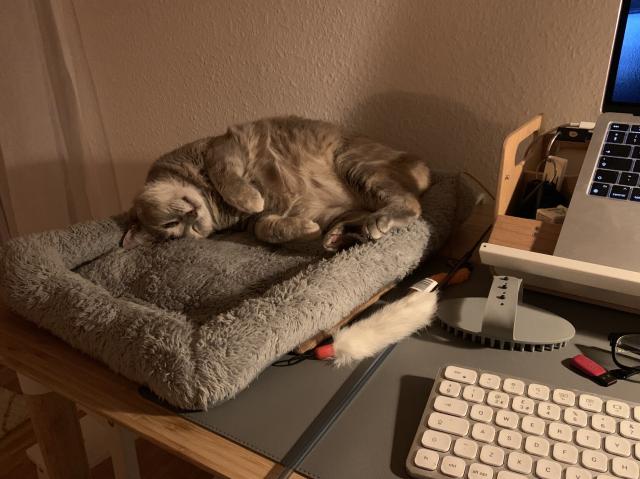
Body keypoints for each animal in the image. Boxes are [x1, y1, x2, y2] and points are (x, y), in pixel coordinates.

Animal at [122, 116, 432, 251]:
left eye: (169, 224)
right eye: (177, 230)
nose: (191, 217)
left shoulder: (222, 149)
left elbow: (227, 179)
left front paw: (250, 198)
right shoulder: (255, 223)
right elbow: (265, 229)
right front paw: (306, 229)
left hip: (353, 164)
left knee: (410, 204)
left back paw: (374, 224)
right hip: (342, 207)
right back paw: (339, 236)